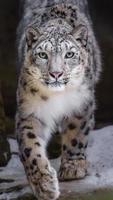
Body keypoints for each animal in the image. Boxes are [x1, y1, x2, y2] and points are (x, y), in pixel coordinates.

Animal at [15, 0, 101, 199]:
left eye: (69, 54)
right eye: (42, 55)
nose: (56, 73)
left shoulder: (82, 103)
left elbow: (76, 132)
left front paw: (72, 168)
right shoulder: (30, 110)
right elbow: (30, 147)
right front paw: (44, 185)